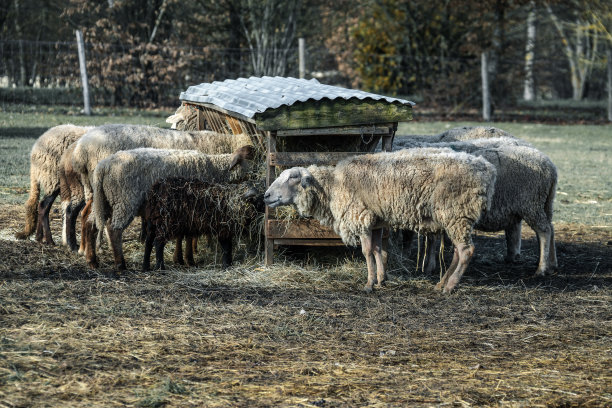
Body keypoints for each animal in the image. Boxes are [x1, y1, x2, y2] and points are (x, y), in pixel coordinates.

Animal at [264, 148, 498, 292]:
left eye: (293, 177)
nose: (265, 196)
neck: (333, 186)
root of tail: (487, 169)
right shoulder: (375, 222)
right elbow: (378, 251)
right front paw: (381, 279)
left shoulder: (361, 217)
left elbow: (367, 252)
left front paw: (369, 283)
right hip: (456, 218)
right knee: (459, 251)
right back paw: (442, 283)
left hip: (456, 213)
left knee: (466, 250)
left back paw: (450, 286)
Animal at [394, 137, 556, 278]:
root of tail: (550, 165)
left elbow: (423, 238)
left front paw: (425, 265)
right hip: (545, 203)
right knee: (550, 228)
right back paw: (550, 264)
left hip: (530, 204)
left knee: (544, 231)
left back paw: (541, 269)